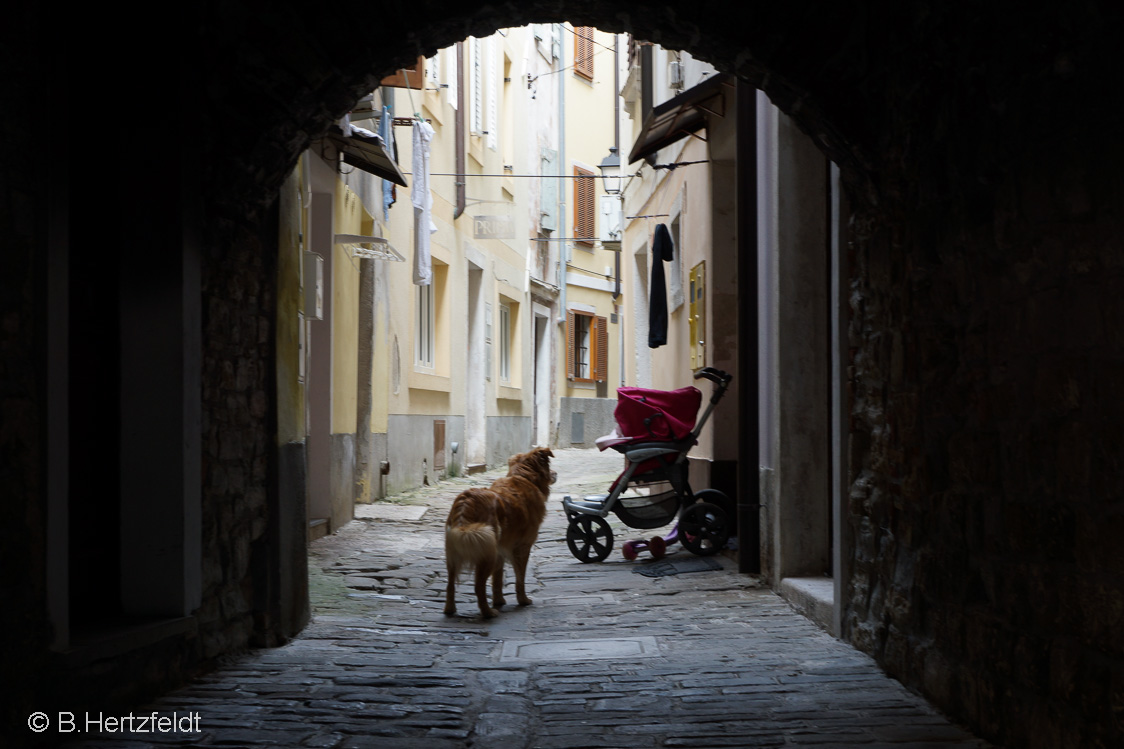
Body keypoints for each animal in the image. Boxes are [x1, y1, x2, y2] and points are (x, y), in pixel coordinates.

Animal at [445, 445, 555, 616]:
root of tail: (467, 499)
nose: (555, 474)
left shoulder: (501, 550)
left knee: (450, 584)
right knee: (478, 586)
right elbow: (520, 577)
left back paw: (450, 610)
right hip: (486, 548)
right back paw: (488, 613)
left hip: (455, 551)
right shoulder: (522, 547)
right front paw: (523, 600)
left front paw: (499, 600)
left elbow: (497, 578)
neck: (524, 477)